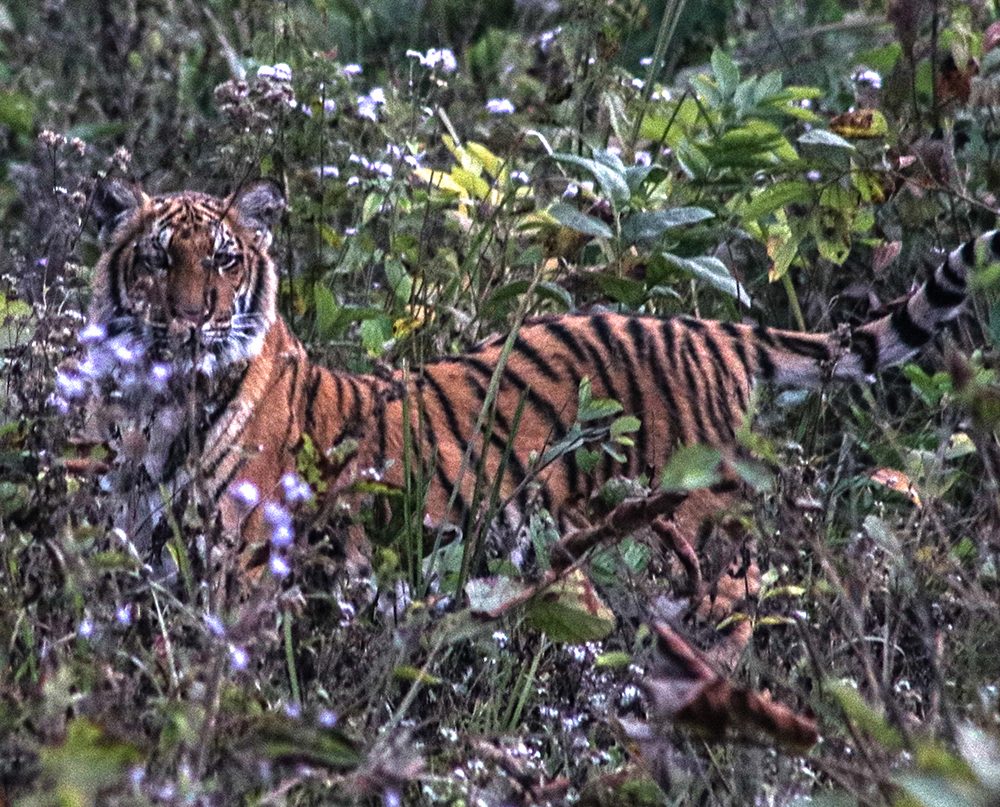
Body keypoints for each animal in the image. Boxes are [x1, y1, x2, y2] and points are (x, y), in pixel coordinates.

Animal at [79, 178, 987, 614]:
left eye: (225, 259)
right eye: (157, 259)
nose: (191, 319)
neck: (154, 401)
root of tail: (711, 329)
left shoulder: (245, 569)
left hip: (706, 542)